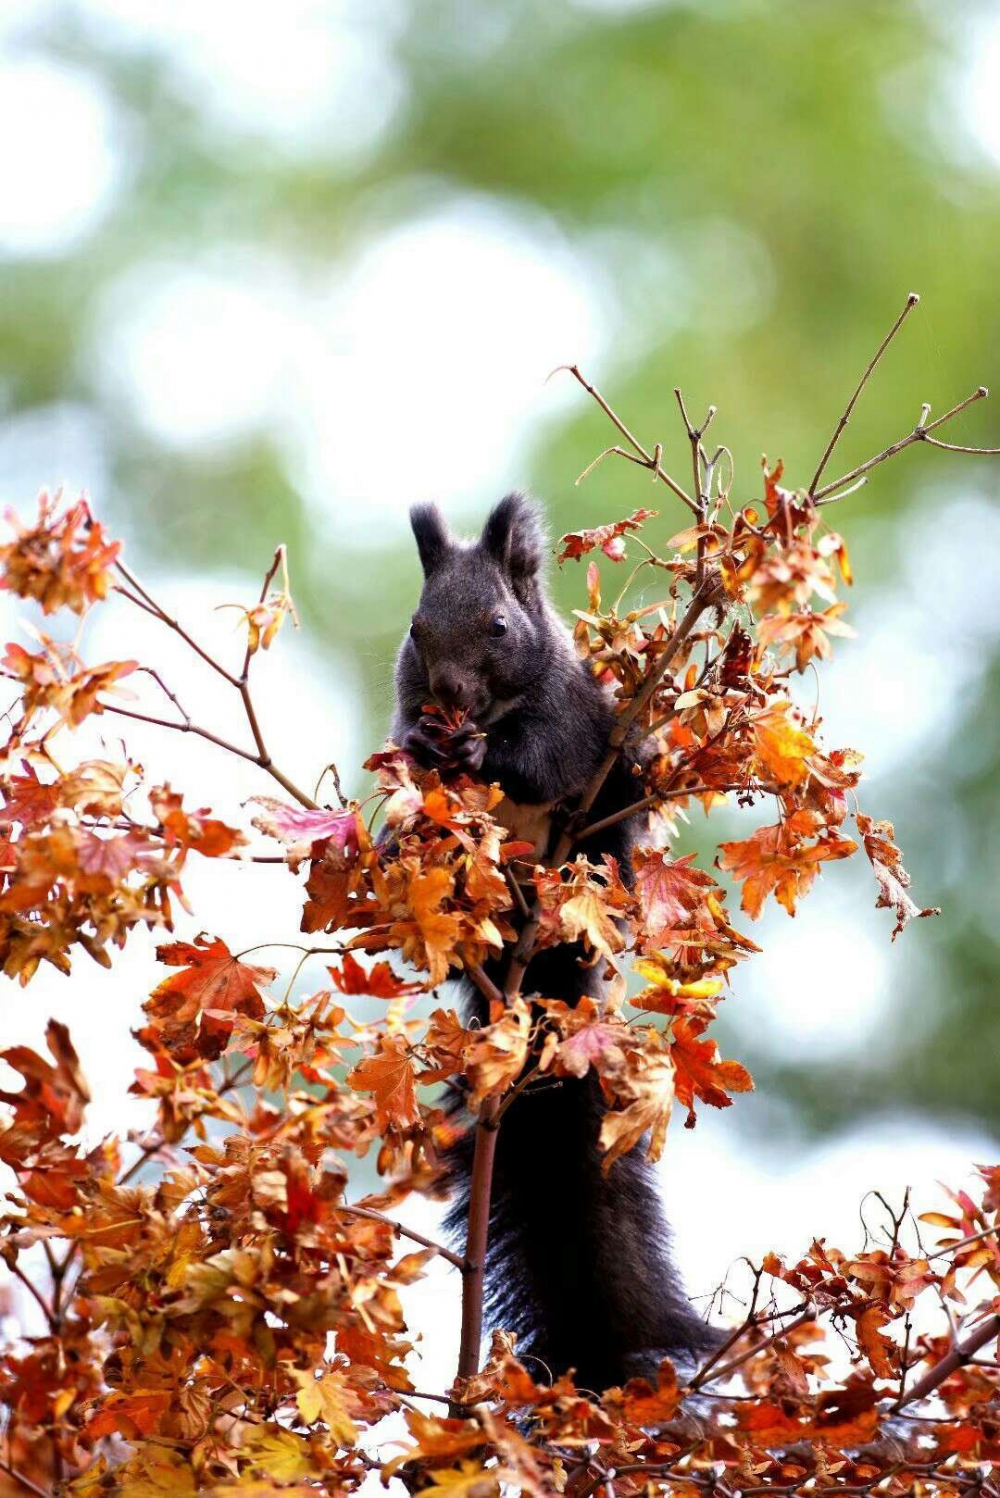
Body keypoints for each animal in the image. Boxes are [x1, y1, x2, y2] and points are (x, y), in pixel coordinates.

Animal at [389, 491, 709, 1390]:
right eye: (417, 628)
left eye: (499, 624)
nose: (449, 696)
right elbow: (406, 749)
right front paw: (427, 744)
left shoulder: (569, 723)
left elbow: (540, 758)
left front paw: (476, 749)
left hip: (608, 843)